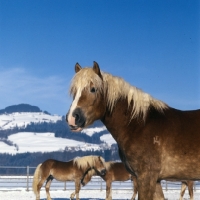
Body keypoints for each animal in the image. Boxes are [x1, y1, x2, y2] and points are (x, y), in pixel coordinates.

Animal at [67, 61, 200, 199]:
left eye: (93, 89)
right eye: (74, 91)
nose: (72, 118)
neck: (140, 125)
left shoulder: (146, 177)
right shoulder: (155, 180)